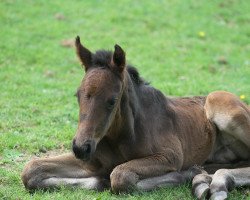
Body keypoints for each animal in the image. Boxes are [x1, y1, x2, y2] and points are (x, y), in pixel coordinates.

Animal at [22, 36, 250, 199]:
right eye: (78, 95)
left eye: (112, 100)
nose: (80, 147)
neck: (123, 136)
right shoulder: (92, 161)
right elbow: (30, 170)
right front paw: (100, 181)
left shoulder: (170, 156)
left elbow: (120, 176)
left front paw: (186, 173)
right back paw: (206, 182)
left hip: (220, 102)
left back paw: (212, 184)